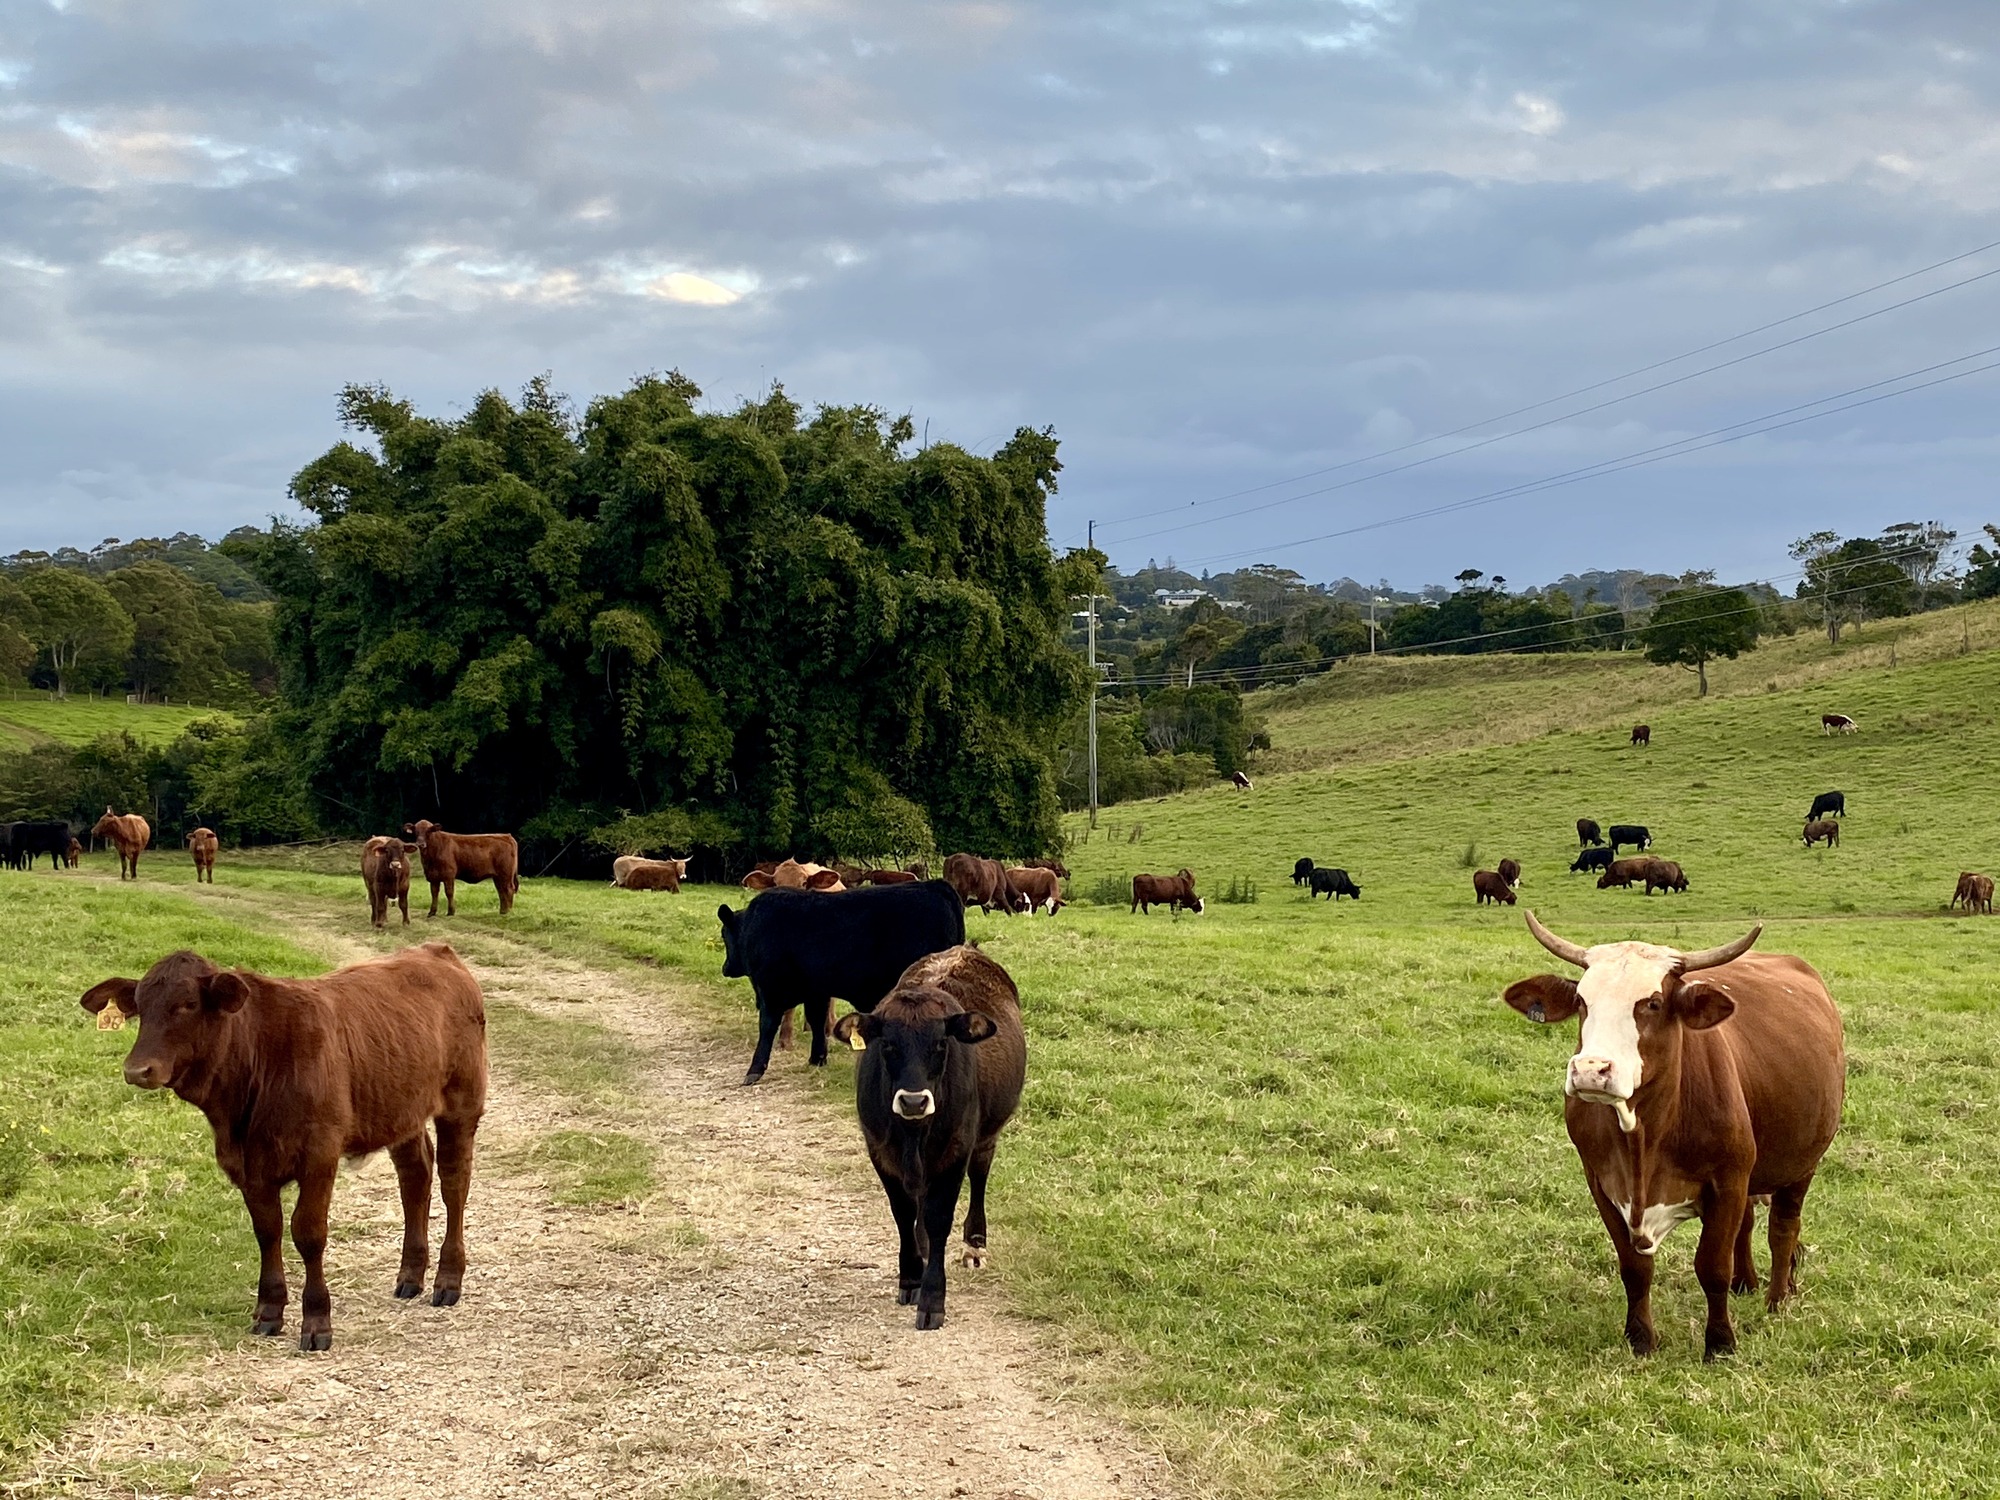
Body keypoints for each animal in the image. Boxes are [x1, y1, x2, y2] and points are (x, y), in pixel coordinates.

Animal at [79, 942, 488, 1351]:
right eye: (139, 1006)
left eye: (189, 1004)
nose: (137, 1070)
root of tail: (435, 951)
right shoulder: (247, 1165)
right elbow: (267, 1231)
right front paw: (269, 1310)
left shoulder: (319, 1156)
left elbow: (308, 1233)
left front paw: (317, 1320)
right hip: (401, 1110)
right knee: (415, 1176)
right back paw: (410, 1276)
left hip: (462, 1103)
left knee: (454, 1184)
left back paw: (448, 1280)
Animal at [717, 880, 967, 1084]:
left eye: (724, 934)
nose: (725, 968)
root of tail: (935, 885)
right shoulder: (815, 991)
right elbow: (816, 1020)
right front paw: (817, 1058)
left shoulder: (770, 989)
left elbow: (767, 1026)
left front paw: (754, 1070)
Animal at [831, 946, 1025, 1330]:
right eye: (888, 1045)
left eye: (939, 1045)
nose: (913, 1101)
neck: (913, 1133)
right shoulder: (880, 1150)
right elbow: (903, 1214)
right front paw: (910, 1278)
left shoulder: (956, 1152)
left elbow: (938, 1220)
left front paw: (933, 1298)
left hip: (985, 1139)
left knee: (979, 1178)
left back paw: (974, 1245)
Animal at [1502, 912, 1843, 1359]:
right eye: (1582, 1002)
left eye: (1652, 1003)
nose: (1591, 1070)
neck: (1643, 1138)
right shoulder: (1602, 1184)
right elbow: (1635, 1267)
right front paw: (1640, 1338)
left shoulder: (1728, 1181)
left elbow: (1712, 1266)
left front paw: (1720, 1343)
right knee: (1750, 1222)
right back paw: (1747, 1283)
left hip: (1802, 1162)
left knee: (1783, 1226)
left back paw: (1777, 1298)